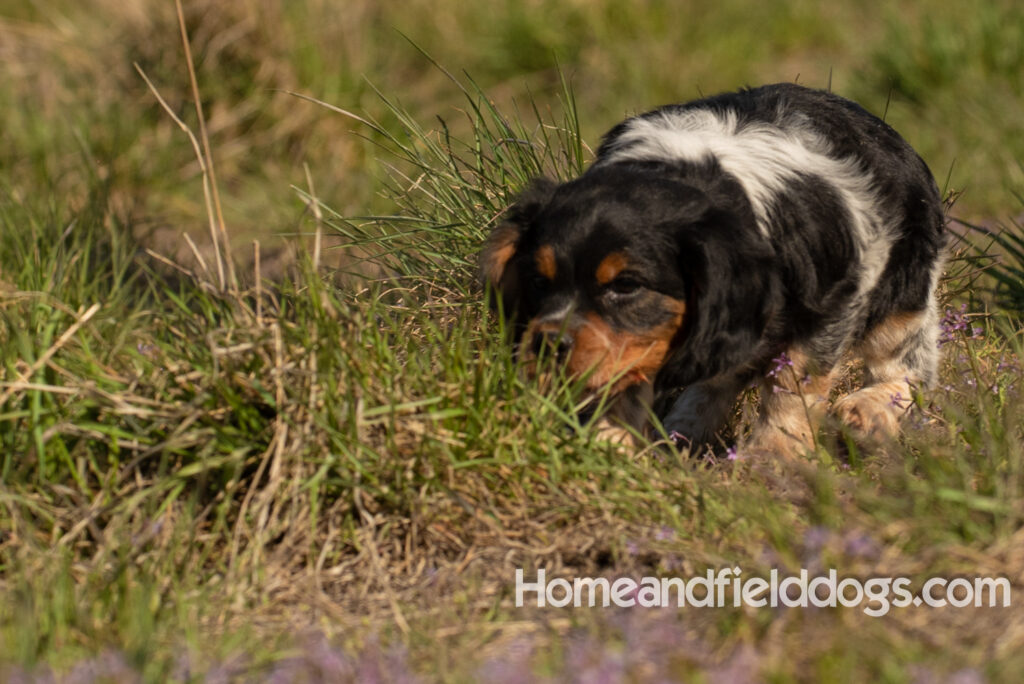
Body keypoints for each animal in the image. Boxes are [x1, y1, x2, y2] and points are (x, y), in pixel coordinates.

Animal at [479, 81, 942, 454]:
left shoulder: (833, 302)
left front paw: (774, 458)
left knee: (909, 368)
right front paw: (611, 444)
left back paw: (867, 411)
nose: (545, 345)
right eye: (538, 280)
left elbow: (794, 382)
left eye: (626, 286)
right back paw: (682, 430)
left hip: (904, 294)